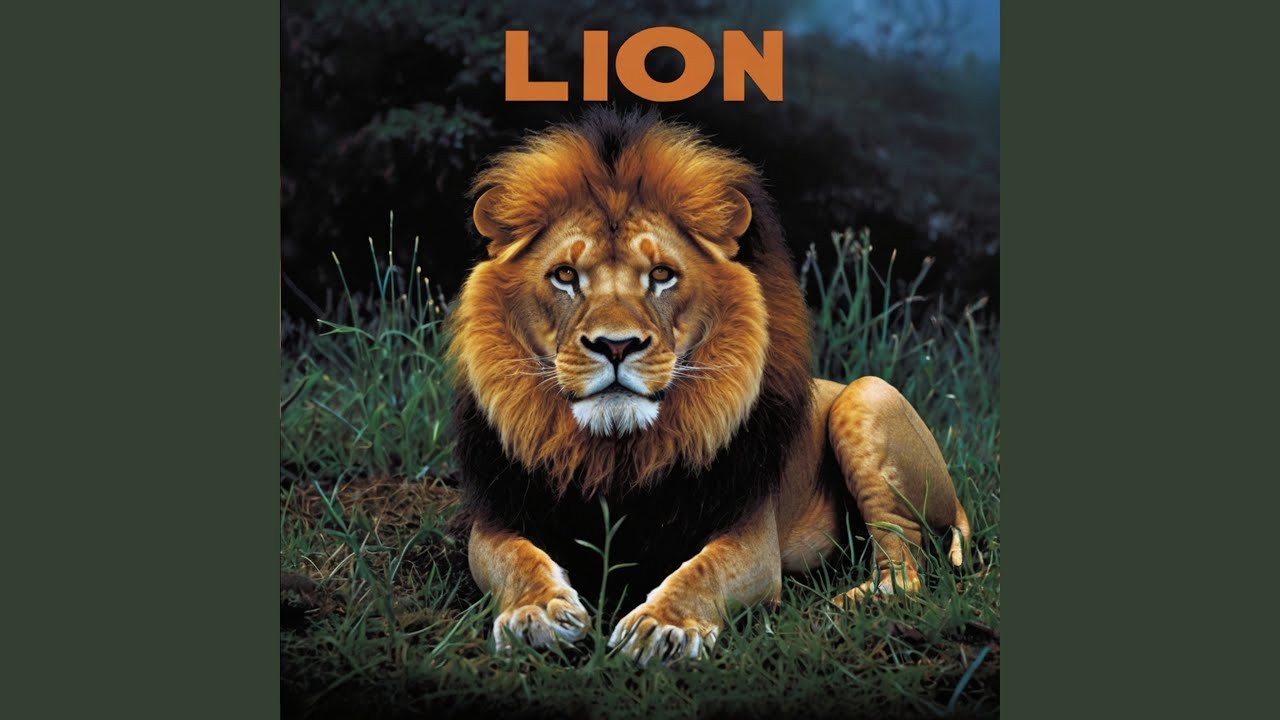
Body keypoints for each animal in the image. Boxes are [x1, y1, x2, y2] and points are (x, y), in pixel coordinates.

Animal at [448, 108, 970, 666]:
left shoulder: (751, 537)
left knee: (906, 558)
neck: (615, 455)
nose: (616, 346)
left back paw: (856, 600)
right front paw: (537, 611)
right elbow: (517, 558)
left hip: (867, 394)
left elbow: (703, 571)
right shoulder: (498, 518)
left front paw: (664, 626)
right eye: (565, 275)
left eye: (661, 274)